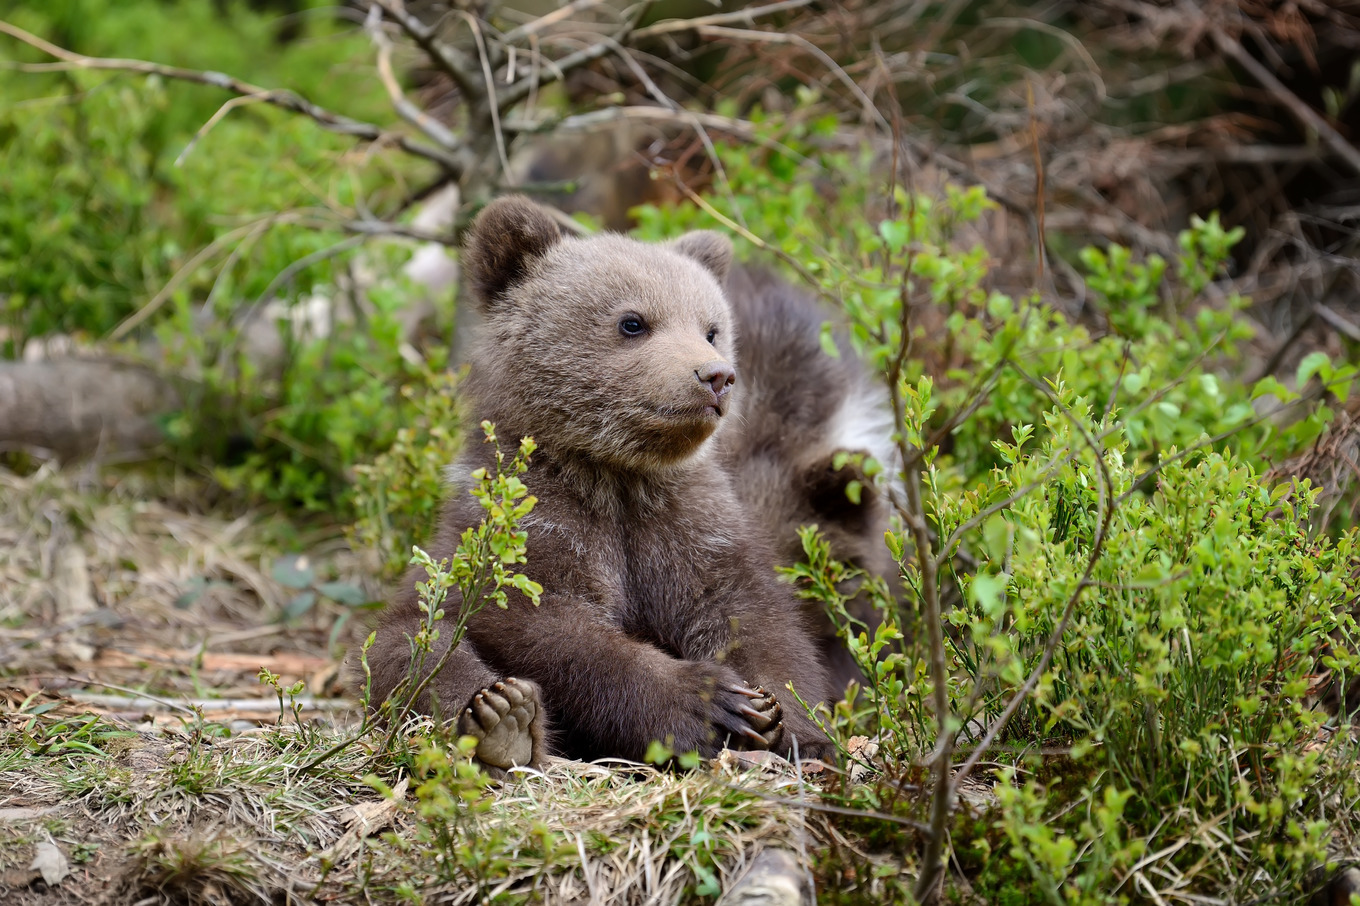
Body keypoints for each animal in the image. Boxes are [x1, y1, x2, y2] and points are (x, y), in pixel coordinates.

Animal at [364, 195, 837, 775]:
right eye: (633, 322)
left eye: (711, 327)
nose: (715, 376)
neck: (614, 473)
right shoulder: (534, 525)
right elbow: (551, 625)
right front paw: (706, 701)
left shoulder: (693, 529)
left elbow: (754, 618)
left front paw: (785, 720)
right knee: (411, 650)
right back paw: (503, 720)